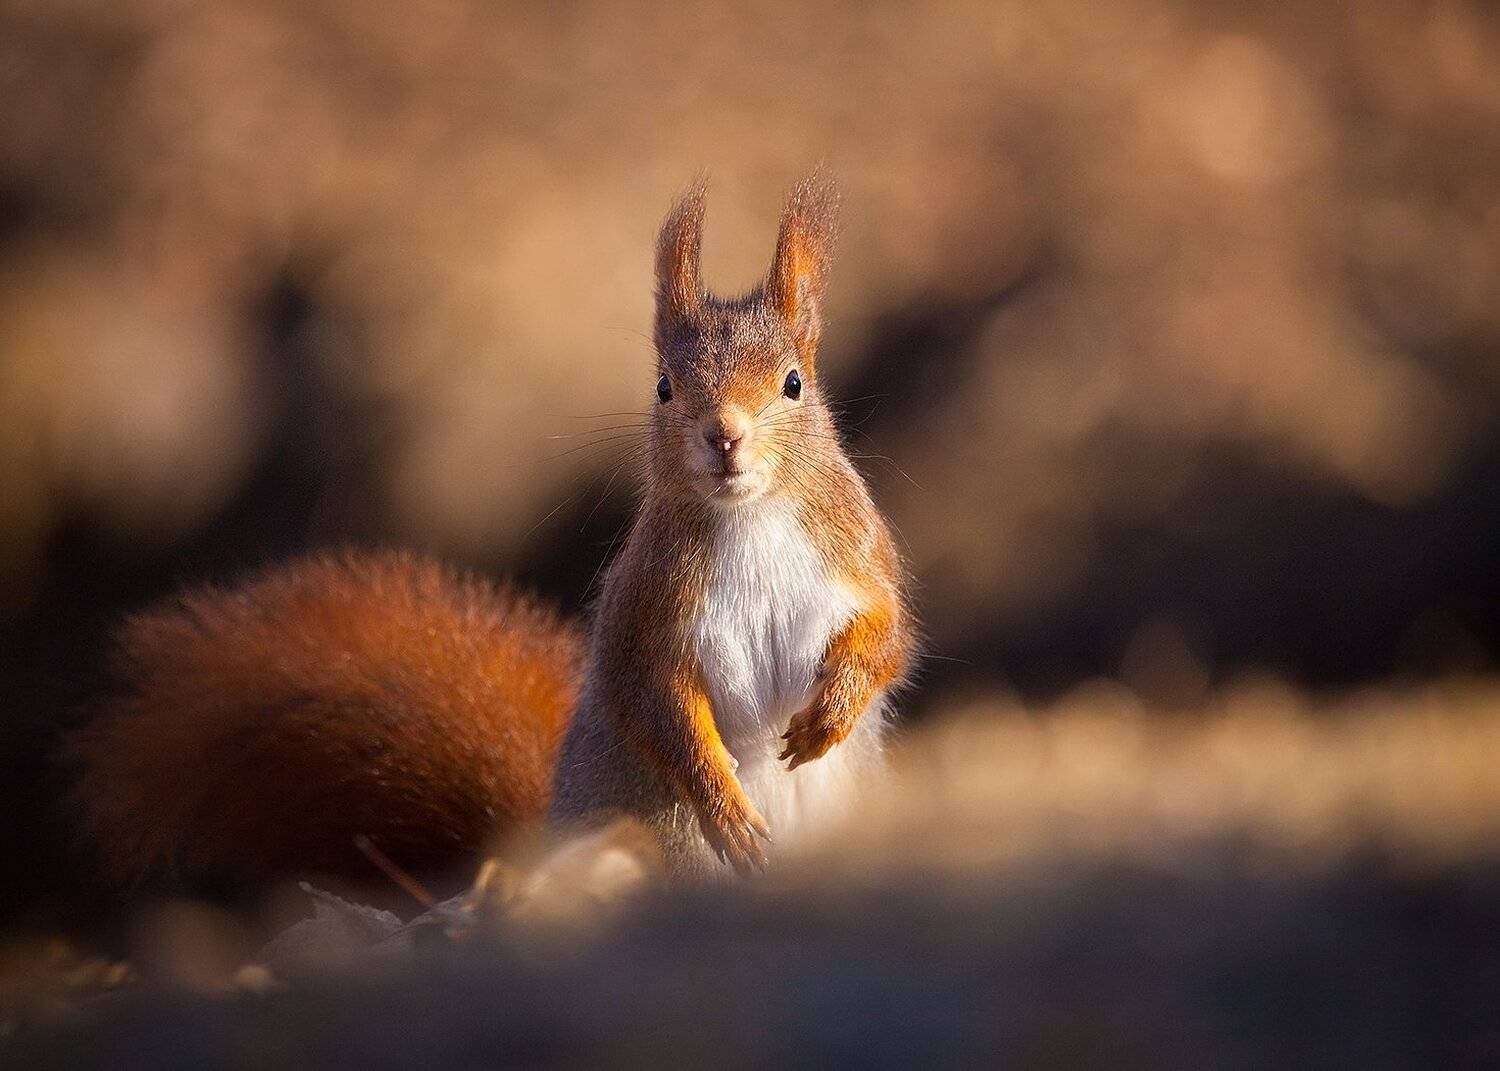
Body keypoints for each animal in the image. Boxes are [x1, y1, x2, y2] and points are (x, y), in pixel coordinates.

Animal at [67, 173, 915, 890]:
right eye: (665, 387)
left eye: (794, 383)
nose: (724, 435)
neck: (752, 515)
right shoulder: (649, 615)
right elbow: (660, 708)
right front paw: (728, 805)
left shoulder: (859, 559)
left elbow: (886, 636)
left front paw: (830, 715)